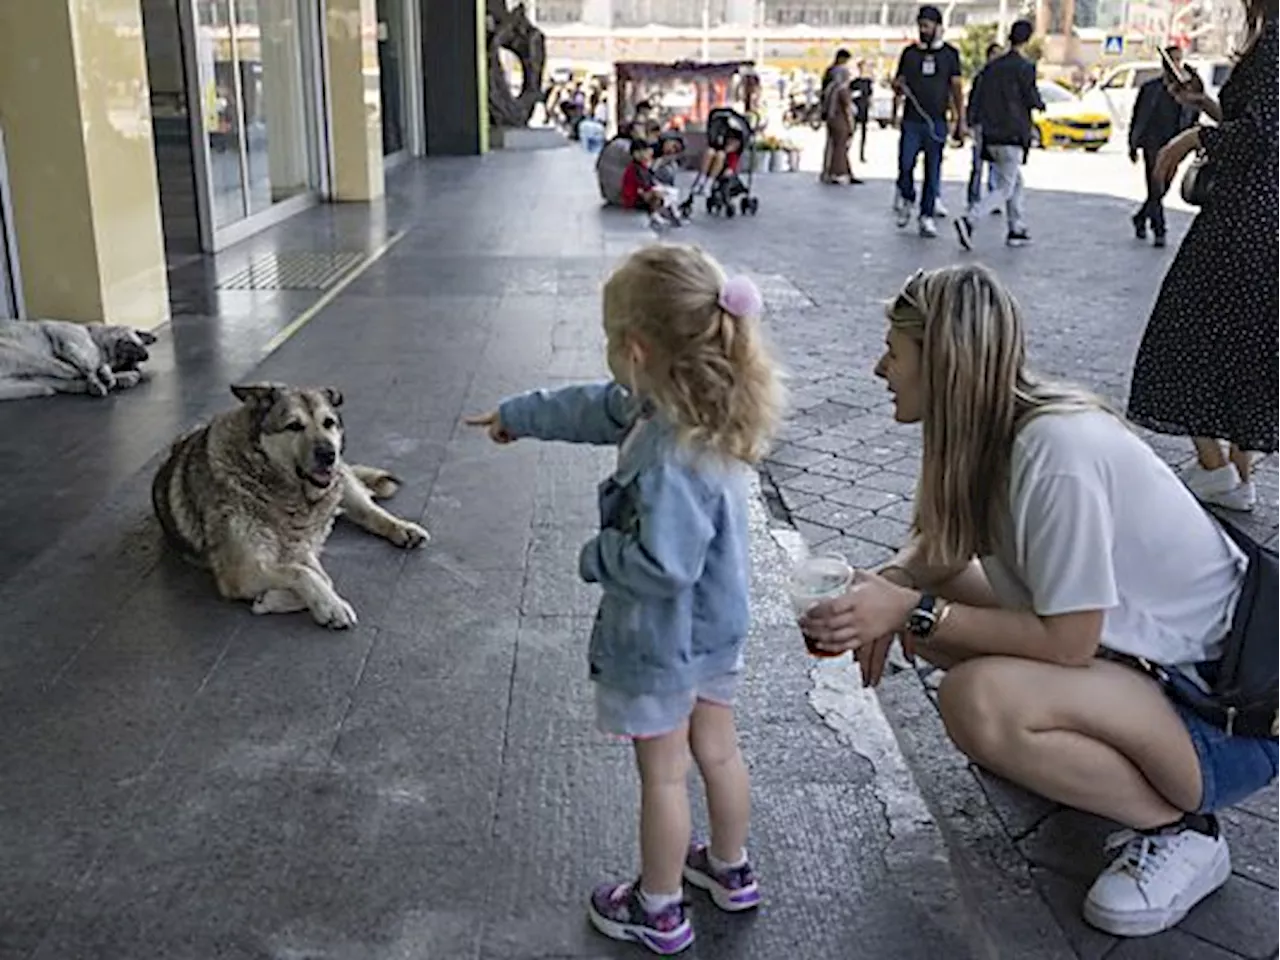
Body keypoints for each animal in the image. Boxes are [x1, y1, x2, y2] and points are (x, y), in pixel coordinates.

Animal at [0, 320, 156, 401]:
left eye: (127, 364)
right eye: (136, 344)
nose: (146, 355)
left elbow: (96, 369)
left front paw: (113, 376)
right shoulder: (72, 347)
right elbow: (89, 367)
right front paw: (106, 376)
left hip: (31, 377)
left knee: (57, 383)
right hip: (26, 354)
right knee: (65, 371)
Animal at [149, 384, 430, 632]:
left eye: (329, 423)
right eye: (294, 426)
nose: (329, 454)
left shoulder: (298, 547)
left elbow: (317, 575)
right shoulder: (243, 569)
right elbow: (303, 574)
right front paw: (329, 606)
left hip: (342, 482)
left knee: (369, 510)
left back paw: (404, 529)